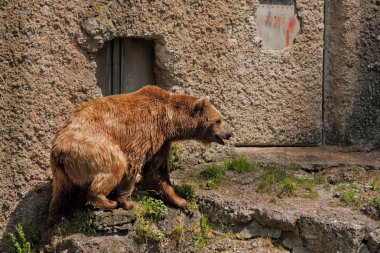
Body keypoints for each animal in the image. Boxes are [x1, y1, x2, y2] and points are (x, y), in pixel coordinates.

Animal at [47, 86, 232, 222]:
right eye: (218, 120)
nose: (229, 133)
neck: (169, 121)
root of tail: (58, 148)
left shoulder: (162, 142)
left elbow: (157, 170)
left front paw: (180, 200)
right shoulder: (145, 130)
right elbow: (133, 161)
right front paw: (126, 201)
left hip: (60, 170)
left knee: (61, 191)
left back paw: (57, 215)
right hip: (91, 146)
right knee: (114, 165)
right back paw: (106, 201)